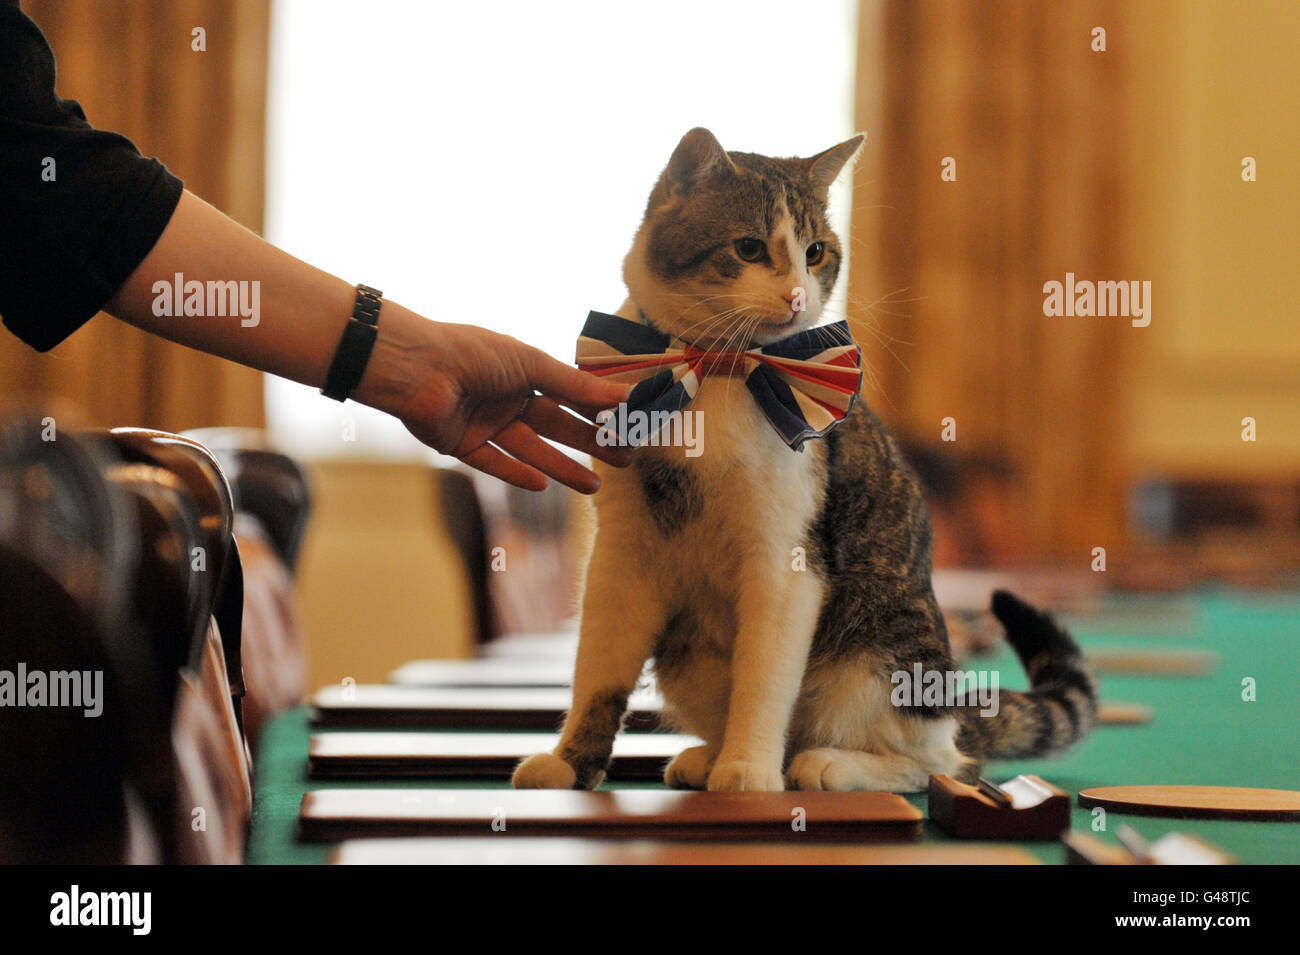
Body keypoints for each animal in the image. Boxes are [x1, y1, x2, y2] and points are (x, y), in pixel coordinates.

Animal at [512, 130, 1092, 795]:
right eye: (748, 248)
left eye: (816, 253)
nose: (796, 295)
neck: (716, 372)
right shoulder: (621, 550)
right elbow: (598, 672)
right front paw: (571, 761)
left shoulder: (785, 557)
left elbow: (764, 678)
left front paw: (747, 768)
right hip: (688, 652)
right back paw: (709, 755)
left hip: (876, 654)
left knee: (942, 761)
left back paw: (825, 763)